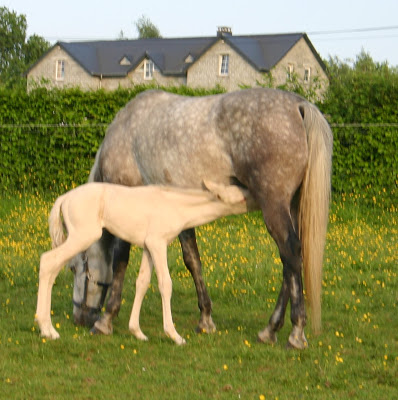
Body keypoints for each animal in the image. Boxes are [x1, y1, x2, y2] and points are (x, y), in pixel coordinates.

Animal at [35, 180, 252, 344]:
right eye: (241, 197)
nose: (256, 199)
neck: (176, 207)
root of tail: (64, 198)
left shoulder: (148, 247)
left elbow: (142, 282)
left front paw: (137, 332)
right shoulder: (158, 243)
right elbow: (165, 284)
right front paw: (175, 335)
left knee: (53, 268)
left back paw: (47, 328)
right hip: (83, 235)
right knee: (48, 261)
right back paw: (47, 329)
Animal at [71, 86, 332, 346]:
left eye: (74, 268)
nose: (80, 319)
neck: (125, 131)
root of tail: (298, 106)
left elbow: (120, 261)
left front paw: (106, 319)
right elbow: (192, 260)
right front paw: (205, 319)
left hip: (274, 206)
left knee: (290, 254)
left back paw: (295, 332)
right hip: (292, 207)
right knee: (292, 263)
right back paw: (270, 330)